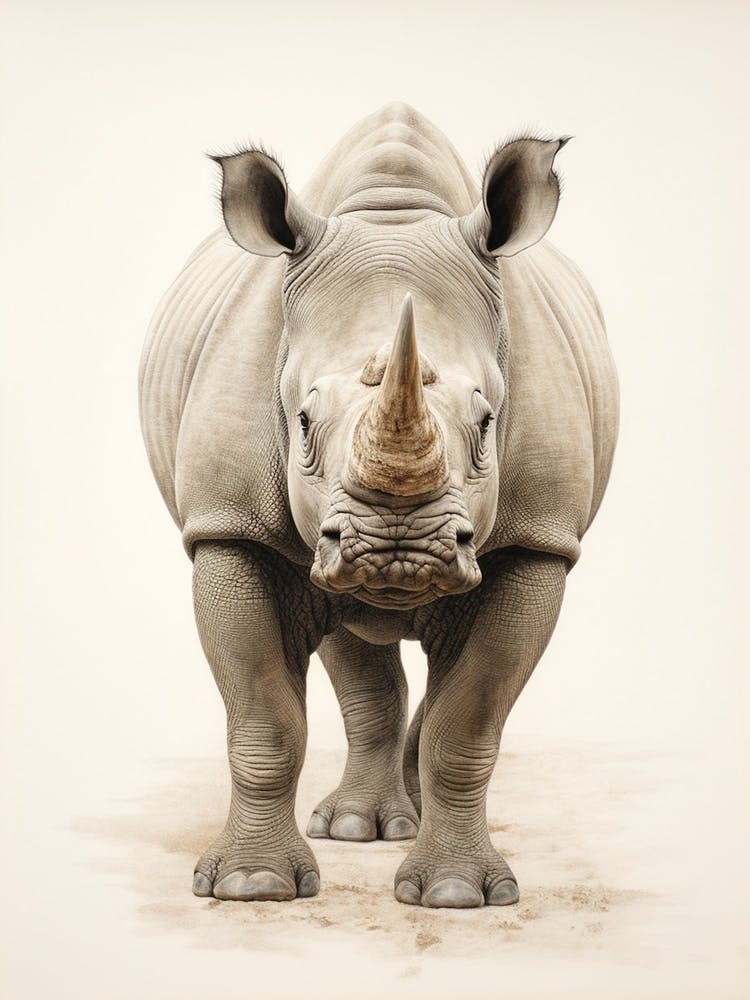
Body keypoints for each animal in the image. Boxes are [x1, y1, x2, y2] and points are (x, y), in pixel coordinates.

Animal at [139, 103, 618, 909]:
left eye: (487, 422)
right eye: (302, 421)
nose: (400, 549)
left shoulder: (538, 538)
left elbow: (470, 722)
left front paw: (455, 895)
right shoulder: (229, 527)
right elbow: (264, 718)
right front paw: (252, 885)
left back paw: (401, 825)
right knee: (352, 638)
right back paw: (357, 830)